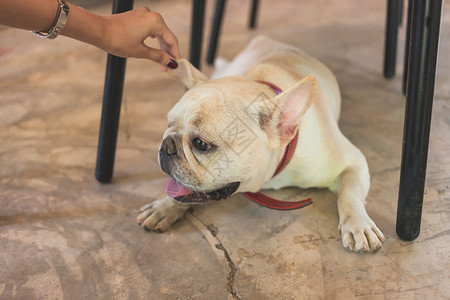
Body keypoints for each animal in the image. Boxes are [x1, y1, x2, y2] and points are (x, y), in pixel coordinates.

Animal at [136, 35, 384, 253]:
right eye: (168, 124)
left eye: (201, 144)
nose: (166, 145)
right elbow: (179, 192)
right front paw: (165, 206)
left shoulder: (353, 162)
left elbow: (349, 194)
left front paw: (358, 224)